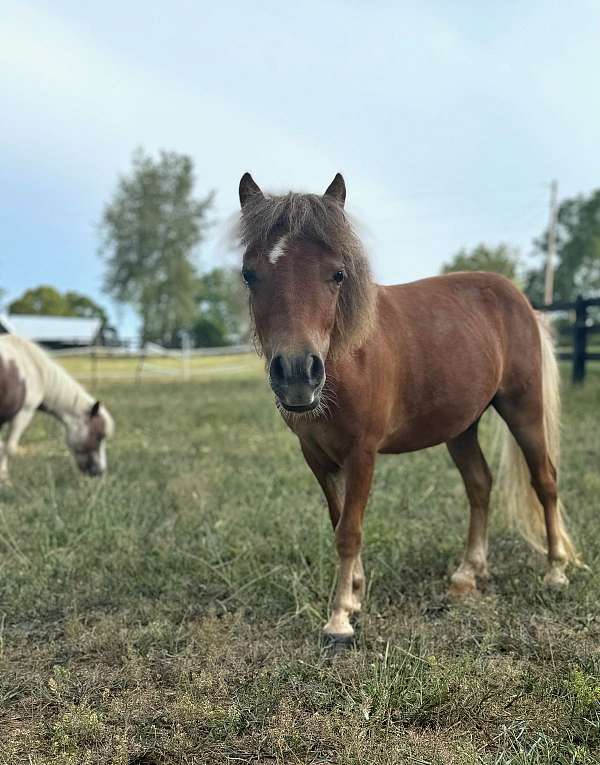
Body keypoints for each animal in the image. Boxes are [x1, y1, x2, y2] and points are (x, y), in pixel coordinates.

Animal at [0, 334, 114, 484]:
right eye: (99, 436)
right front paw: (4, 479)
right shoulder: (24, 413)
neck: (35, 370)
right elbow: (9, 448)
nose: (100, 472)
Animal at [237, 172, 580, 640]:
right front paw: (355, 592)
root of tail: (520, 300)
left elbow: (349, 531)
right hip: (462, 426)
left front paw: (339, 618)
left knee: (544, 480)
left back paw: (556, 571)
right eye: (249, 274)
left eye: (337, 274)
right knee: (480, 485)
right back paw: (467, 574)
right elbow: (338, 520)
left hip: (523, 408)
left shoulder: (362, 453)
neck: (348, 358)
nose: (296, 374)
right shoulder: (317, 456)